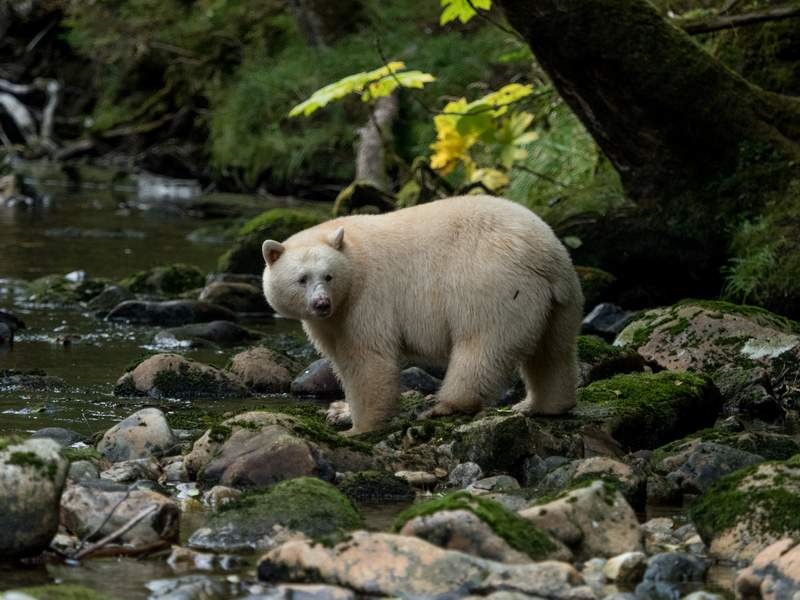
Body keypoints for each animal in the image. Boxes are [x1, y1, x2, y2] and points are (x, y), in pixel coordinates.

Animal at [262, 195, 580, 434]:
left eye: (328, 276)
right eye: (302, 279)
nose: (321, 304)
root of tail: (546, 256)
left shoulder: (367, 300)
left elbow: (367, 361)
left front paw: (358, 426)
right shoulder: (333, 319)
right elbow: (340, 358)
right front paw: (341, 411)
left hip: (492, 287)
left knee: (481, 348)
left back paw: (444, 406)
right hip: (560, 302)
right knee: (553, 351)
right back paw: (542, 404)